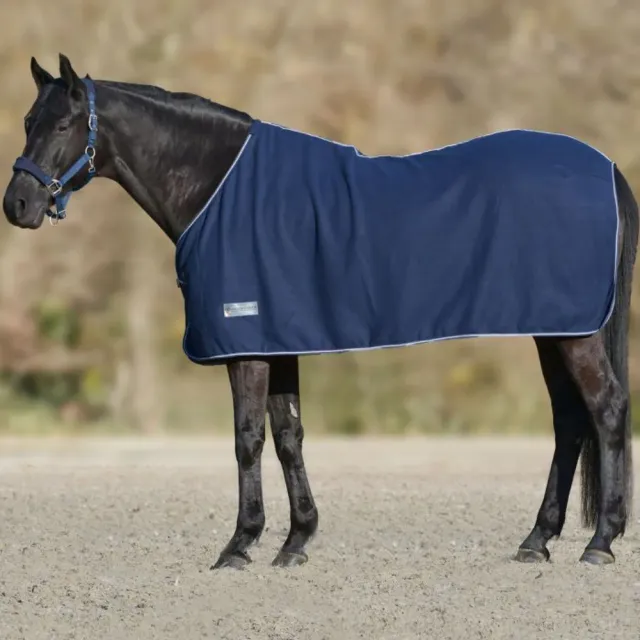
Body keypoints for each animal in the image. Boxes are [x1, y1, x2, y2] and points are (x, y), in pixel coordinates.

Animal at [3, 54, 638, 569]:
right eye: (28, 121)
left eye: (63, 125)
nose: (18, 204)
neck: (218, 187)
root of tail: (605, 167)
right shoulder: (276, 341)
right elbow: (289, 436)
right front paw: (295, 541)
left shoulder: (247, 346)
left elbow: (248, 439)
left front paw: (240, 545)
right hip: (555, 329)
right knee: (569, 421)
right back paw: (538, 540)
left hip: (574, 334)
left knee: (605, 410)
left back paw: (600, 542)